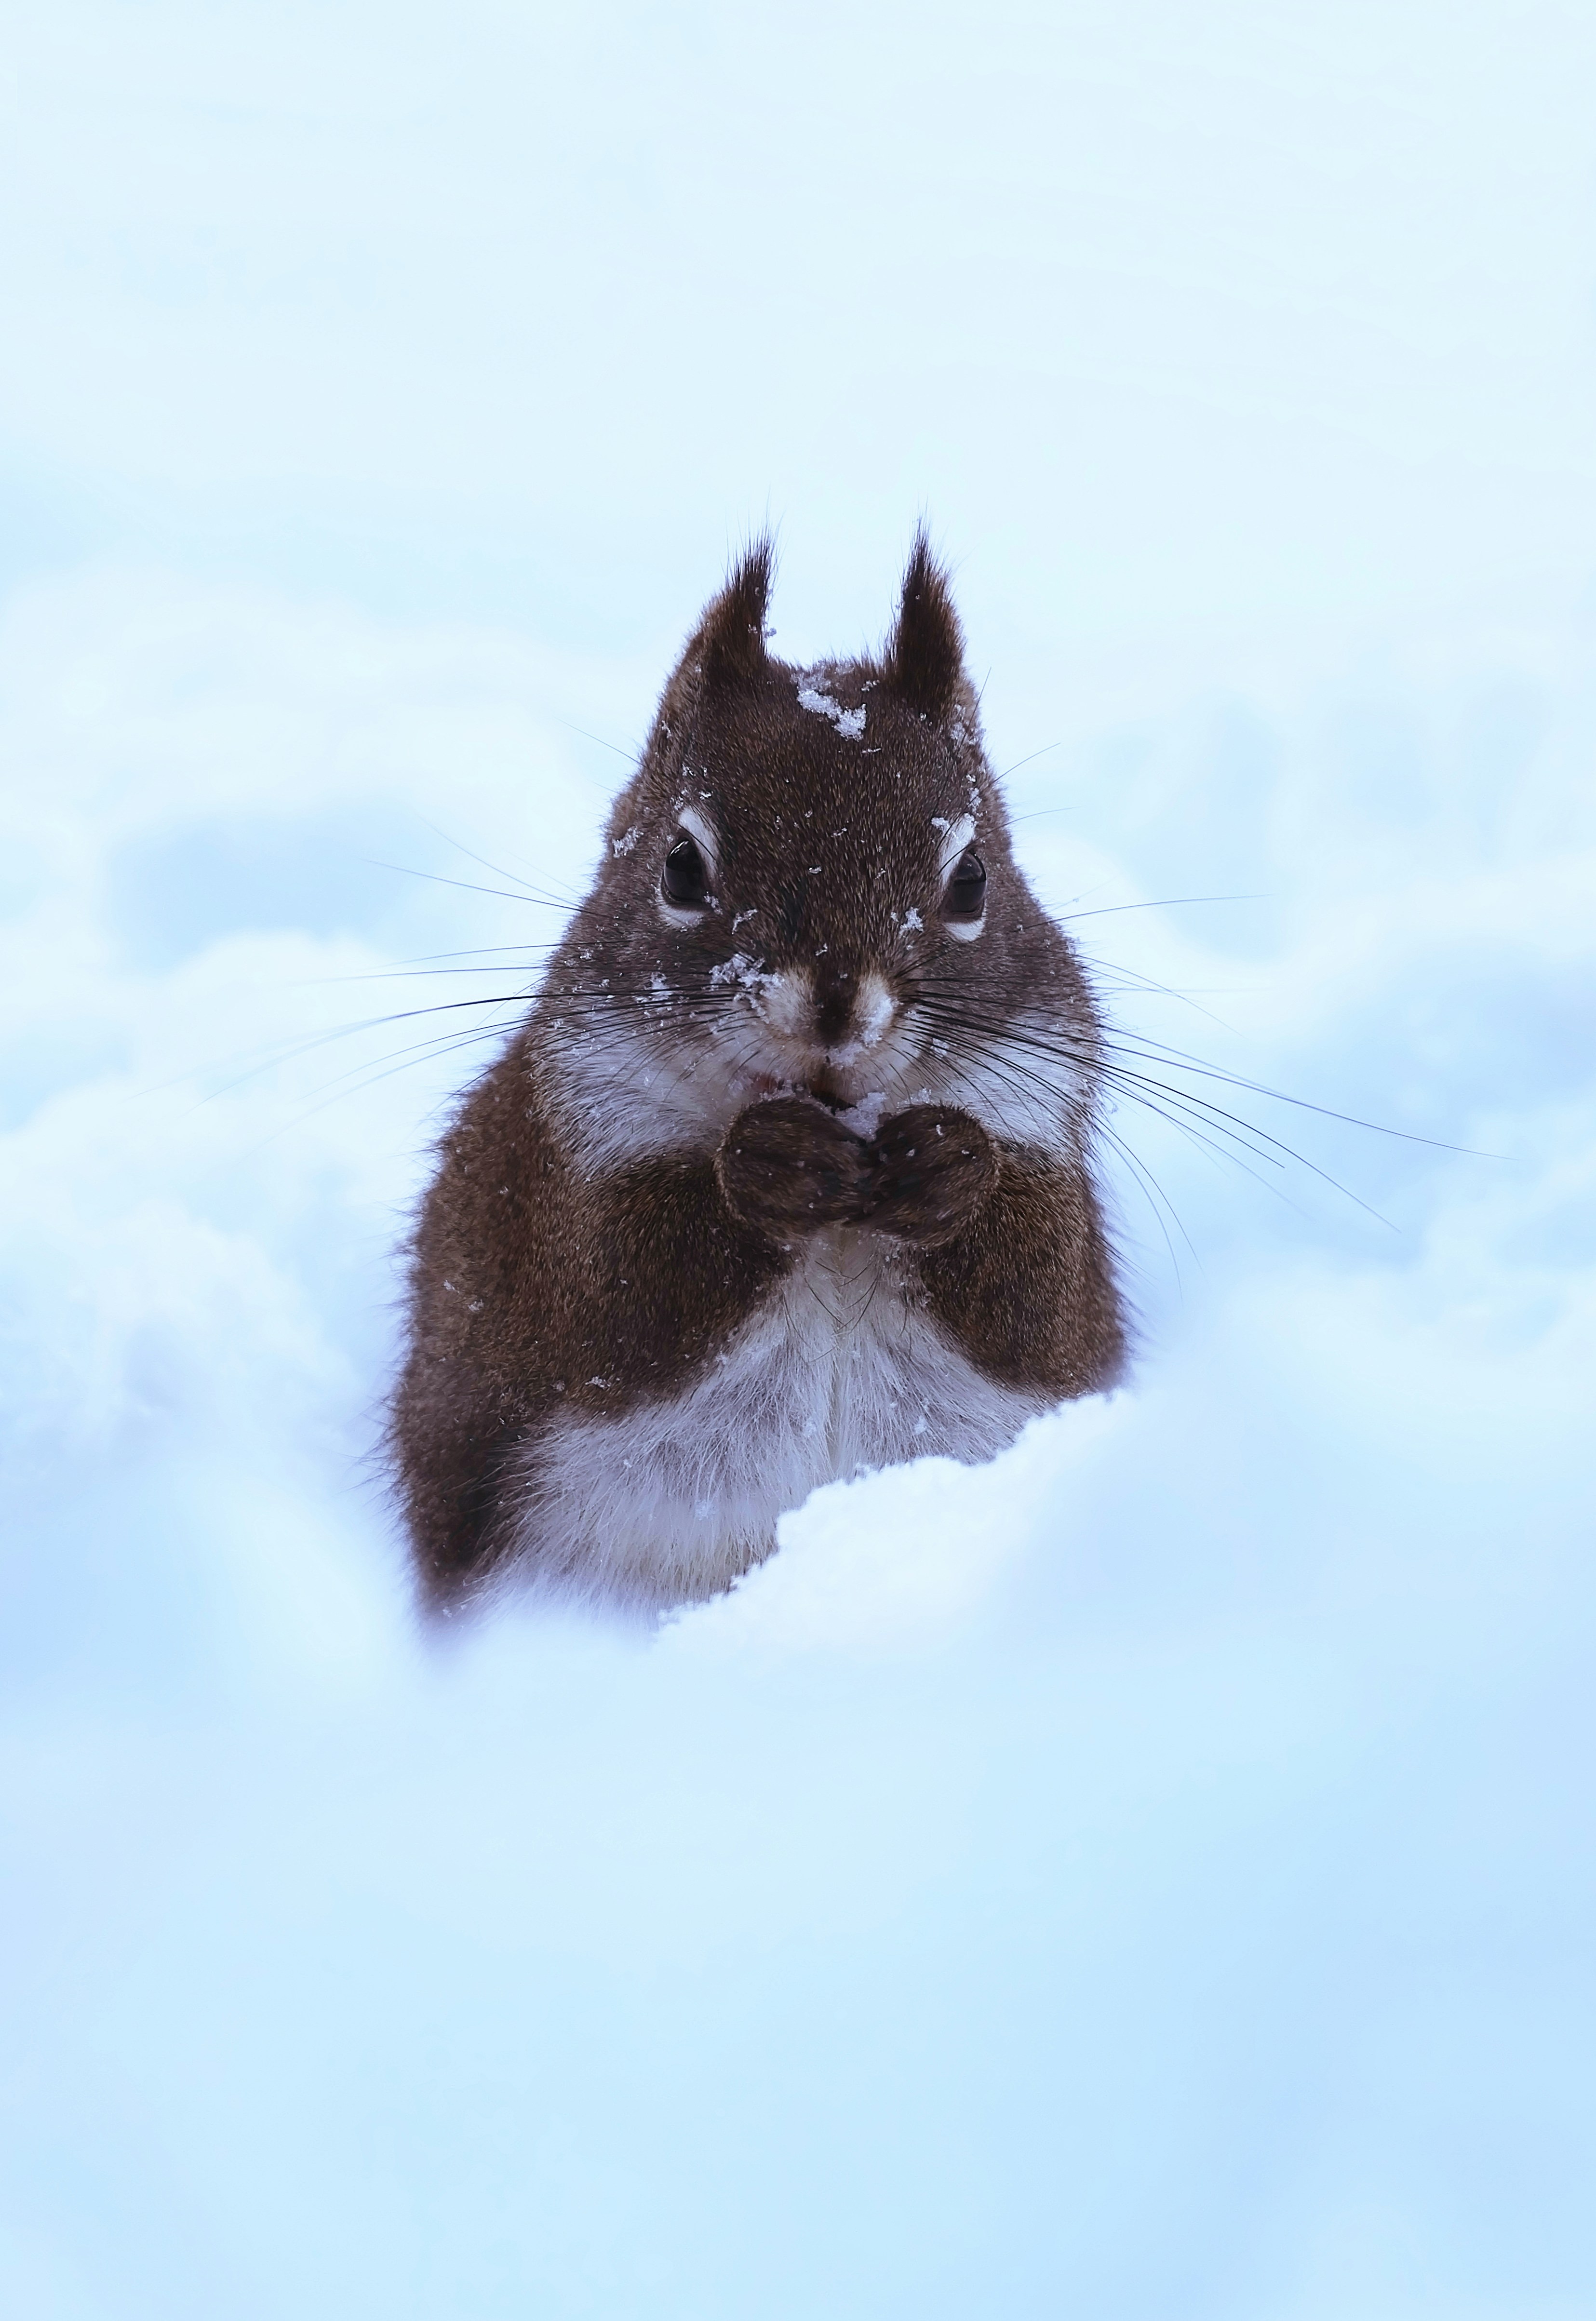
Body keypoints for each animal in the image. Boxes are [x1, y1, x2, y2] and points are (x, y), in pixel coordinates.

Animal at [390, 534, 1126, 1616]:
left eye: (972, 879)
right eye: (679, 865)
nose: (835, 1006)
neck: (847, 1208)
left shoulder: (1044, 1112)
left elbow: (1038, 1302)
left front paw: (949, 1163)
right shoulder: (551, 1183)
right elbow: (618, 1291)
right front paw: (766, 1165)